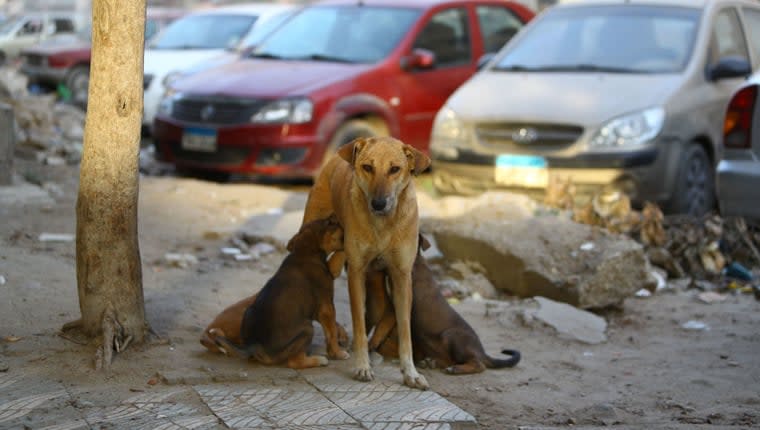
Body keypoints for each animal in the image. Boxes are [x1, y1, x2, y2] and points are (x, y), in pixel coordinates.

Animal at [211, 217, 348, 368]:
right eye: (329, 223)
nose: (339, 220)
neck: (304, 253)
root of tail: (253, 346)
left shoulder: (317, 309)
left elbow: (334, 326)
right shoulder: (326, 306)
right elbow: (331, 332)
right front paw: (338, 353)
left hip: (248, 313)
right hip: (307, 328)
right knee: (294, 361)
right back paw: (318, 360)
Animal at [302, 137, 434, 390]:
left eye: (395, 169)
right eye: (367, 167)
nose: (378, 203)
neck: (383, 225)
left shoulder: (402, 276)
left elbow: (404, 328)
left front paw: (410, 372)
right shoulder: (356, 273)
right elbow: (359, 324)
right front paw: (362, 366)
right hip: (313, 230)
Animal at [366, 237, 520, 374]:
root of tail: (481, 352)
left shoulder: (398, 303)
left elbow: (381, 328)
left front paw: (371, 344)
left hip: (451, 336)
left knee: (478, 364)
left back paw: (456, 369)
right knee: (450, 360)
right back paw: (433, 363)